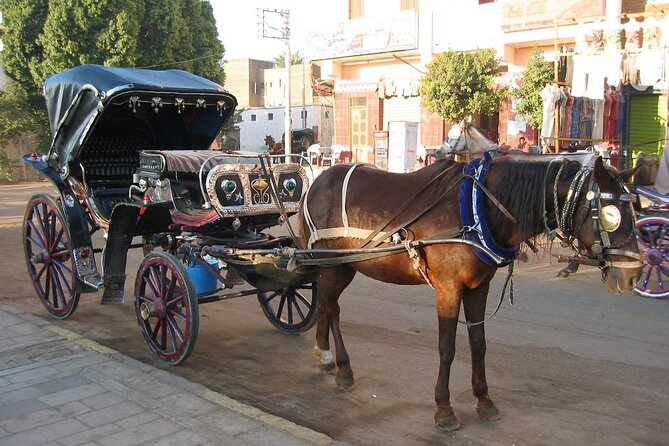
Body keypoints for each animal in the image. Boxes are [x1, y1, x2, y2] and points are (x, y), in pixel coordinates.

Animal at [298, 152, 641, 431]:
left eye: (635, 212)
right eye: (610, 215)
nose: (634, 274)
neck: (478, 209)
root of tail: (317, 182)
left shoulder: (479, 287)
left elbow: (479, 344)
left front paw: (484, 400)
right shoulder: (449, 289)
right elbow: (447, 348)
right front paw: (444, 408)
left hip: (344, 265)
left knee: (326, 304)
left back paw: (323, 353)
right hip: (331, 264)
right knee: (333, 309)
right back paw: (343, 368)